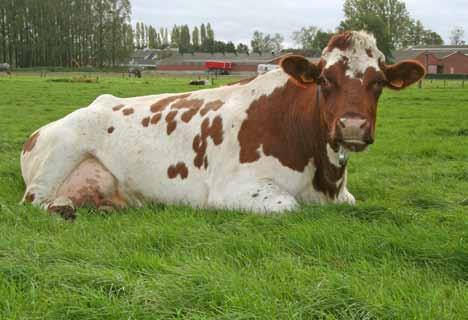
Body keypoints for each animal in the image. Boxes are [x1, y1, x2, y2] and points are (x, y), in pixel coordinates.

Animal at [20, 30, 426, 220]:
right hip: (58, 158)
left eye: (378, 82)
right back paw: (61, 209)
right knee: (34, 202)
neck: (324, 178)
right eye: (325, 79)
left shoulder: (345, 197)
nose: (352, 126)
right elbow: (289, 205)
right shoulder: (237, 188)